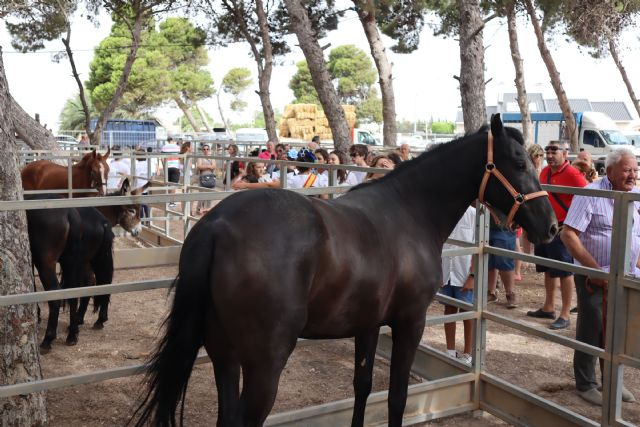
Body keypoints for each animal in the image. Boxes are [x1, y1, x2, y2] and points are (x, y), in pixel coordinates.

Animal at [132, 114, 556, 427]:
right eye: (519, 163)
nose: (550, 226)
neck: (410, 211)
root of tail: (217, 225)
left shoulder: (367, 324)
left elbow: (363, 387)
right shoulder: (410, 322)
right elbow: (397, 396)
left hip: (225, 354)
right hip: (265, 361)